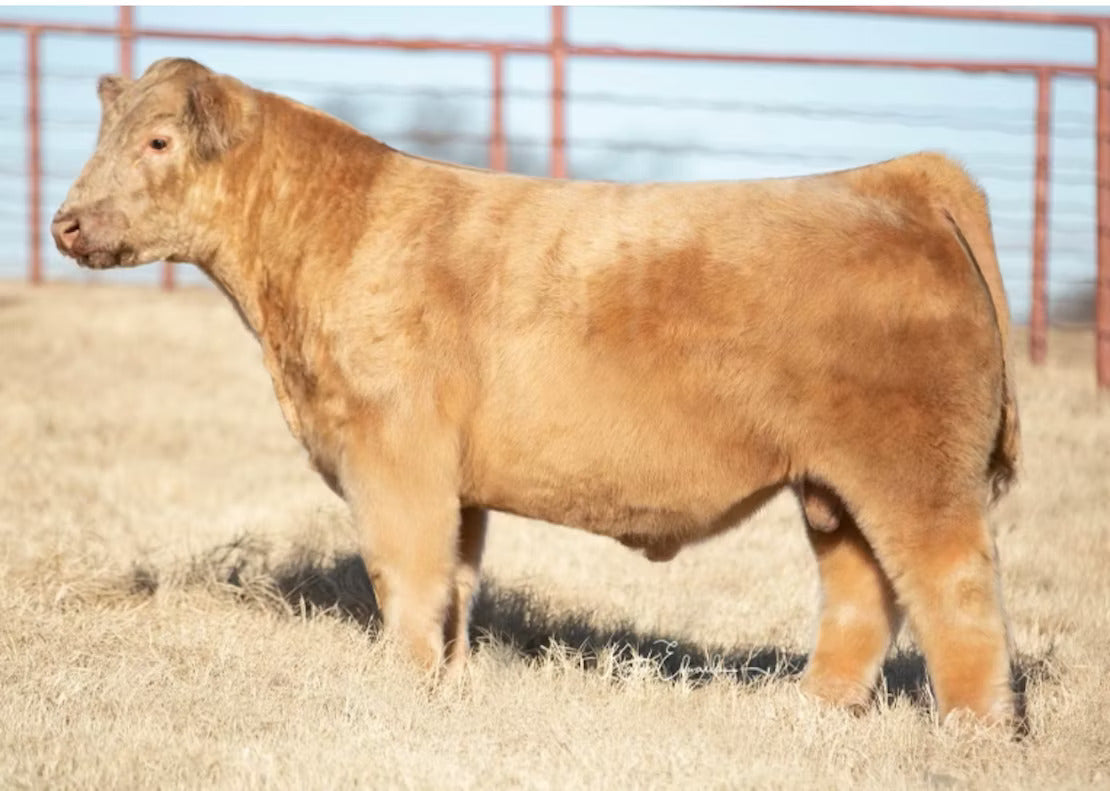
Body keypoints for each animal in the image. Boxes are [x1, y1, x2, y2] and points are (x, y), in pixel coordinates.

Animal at [52, 58, 1021, 727]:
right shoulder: (455, 484)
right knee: (863, 593)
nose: (65, 222)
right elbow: (455, 582)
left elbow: (406, 573)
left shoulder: (394, 457)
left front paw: (402, 682)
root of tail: (899, 177)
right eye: (104, 137)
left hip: (917, 476)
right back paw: (810, 711)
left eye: (158, 142)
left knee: (955, 592)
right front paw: (446, 681)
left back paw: (970, 733)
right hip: (834, 487)